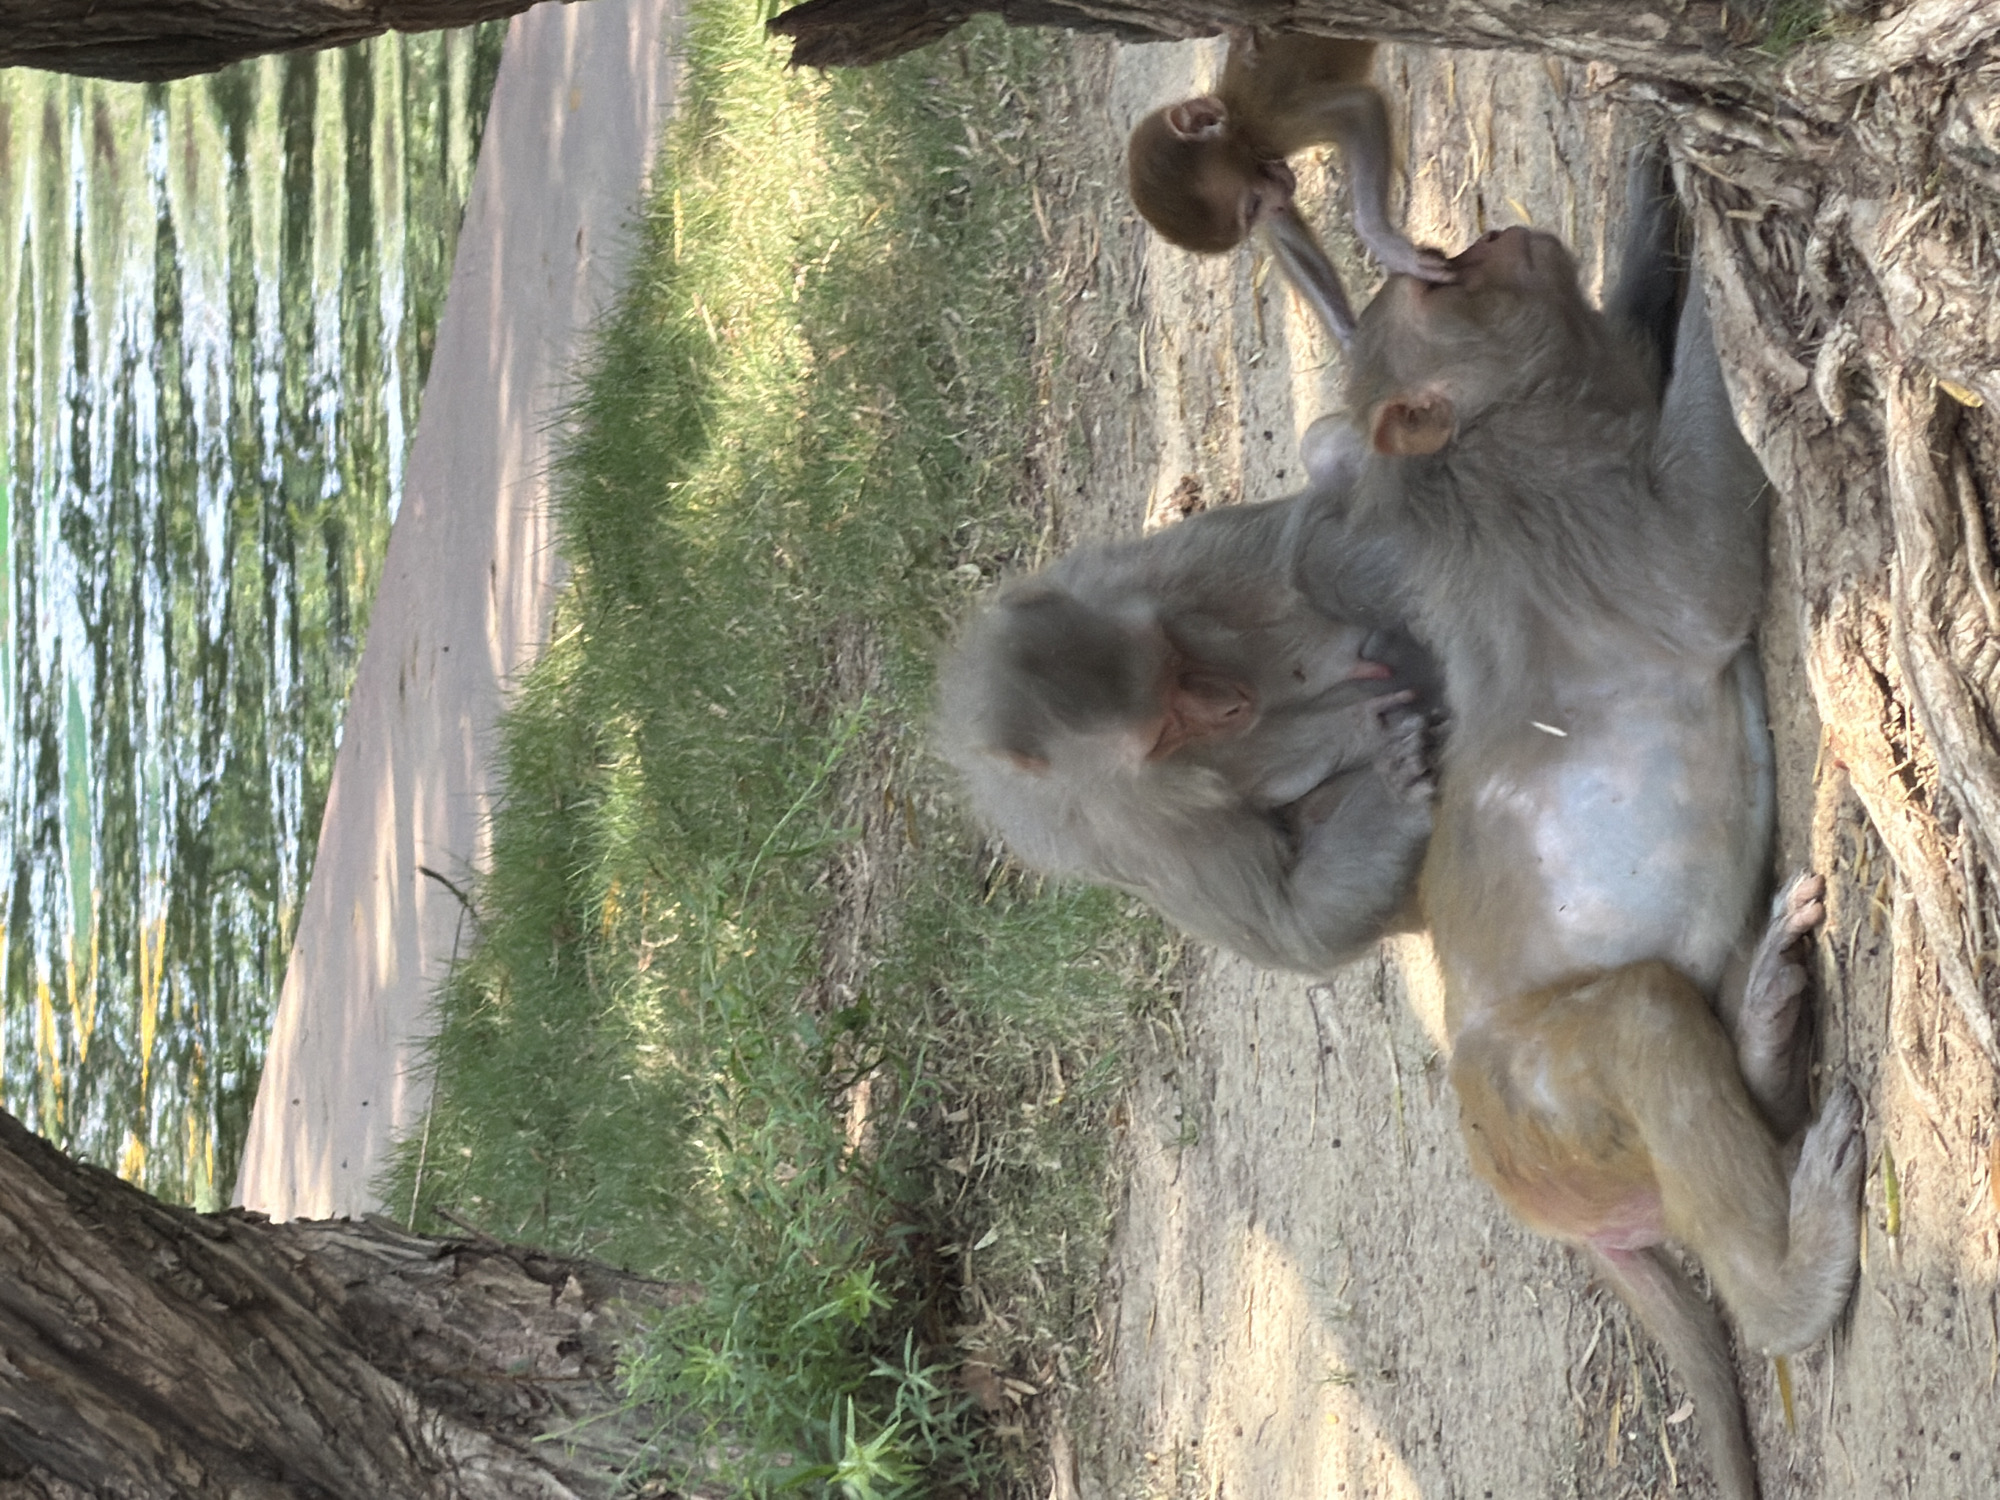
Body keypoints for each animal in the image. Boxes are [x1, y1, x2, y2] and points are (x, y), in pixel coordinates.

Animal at [936, 491, 1440, 977]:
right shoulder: (1128, 830)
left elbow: (1294, 550)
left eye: (1174, 661)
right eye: (1164, 733)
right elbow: (1293, 918)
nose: (1231, 702)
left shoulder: (1120, 578)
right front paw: (1396, 787)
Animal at [1127, 32, 1451, 344]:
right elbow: (1284, 231)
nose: (1277, 201)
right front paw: (1350, 338)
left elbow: (1360, 110)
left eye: (1253, 203)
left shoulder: (1275, 126)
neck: (1240, 124)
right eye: (1254, 212)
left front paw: (1387, 245)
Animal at [1293, 170, 1862, 1499]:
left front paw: (1648, 196)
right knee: (1642, 1022)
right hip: (1543, 1104)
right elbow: (1707, 549)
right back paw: (1787, 1280)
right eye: (1438, 286)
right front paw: (1716, 286)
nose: (1496, 234)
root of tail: (1524, 1199)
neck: (1492, 448)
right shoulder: (1582, 524)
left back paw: (1761, 1028)